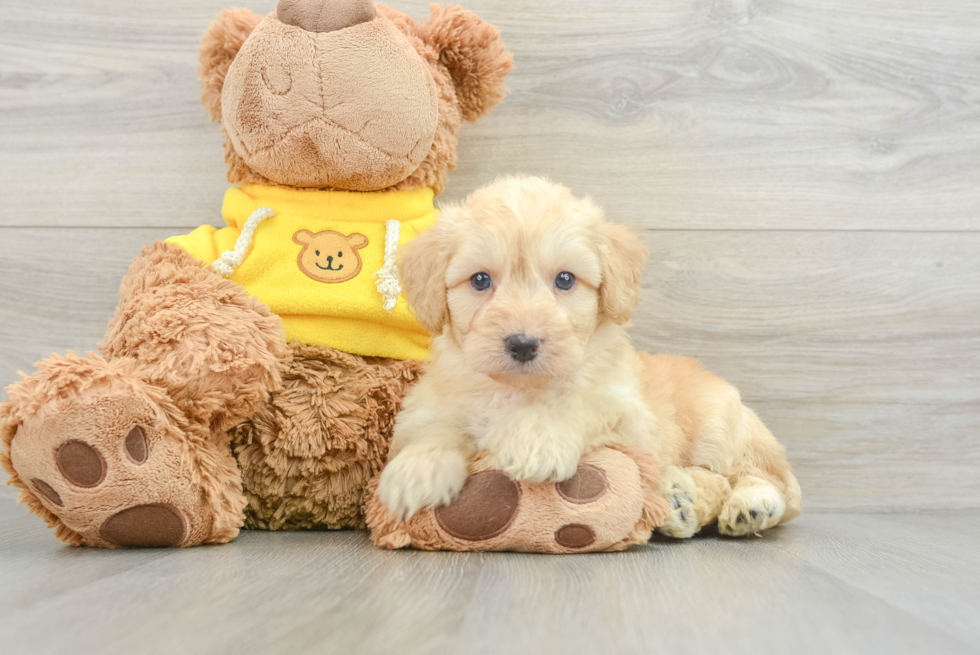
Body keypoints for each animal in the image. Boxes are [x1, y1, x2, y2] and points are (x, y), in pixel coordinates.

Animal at [378, 176, 800, 540]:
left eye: (565, 279)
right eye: (480, 280)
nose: (523, 344)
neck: (521, 391)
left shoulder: (629, 415)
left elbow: (577, 402)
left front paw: (538, 440)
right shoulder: (432, 405)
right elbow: (436, 428)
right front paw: (418, 470)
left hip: (721, 426)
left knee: (767, 477)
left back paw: (751, 504)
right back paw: (681, 500)